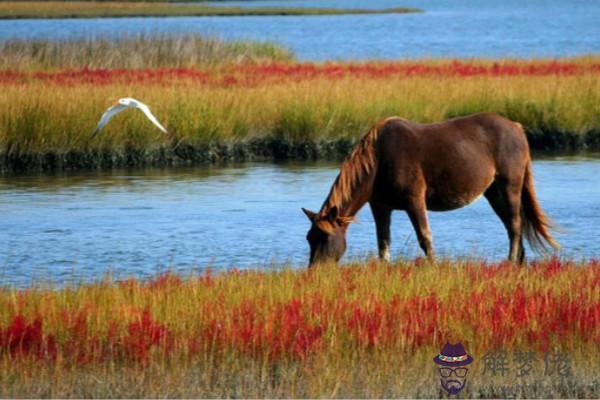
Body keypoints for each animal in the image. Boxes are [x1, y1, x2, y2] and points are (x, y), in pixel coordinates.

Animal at [302, 111, 560, 266]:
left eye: (325, 237)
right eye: (309, 238)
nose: (316, 271)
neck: (378, 160)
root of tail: (516, 127)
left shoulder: (414, 200)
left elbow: (424, 237)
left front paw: (433, 266)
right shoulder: (380, 206)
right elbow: (383, 242)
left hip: (510, 186)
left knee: (515, 225)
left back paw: (510, 261)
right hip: (494, 192)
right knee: (511, 225)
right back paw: (519, 261)